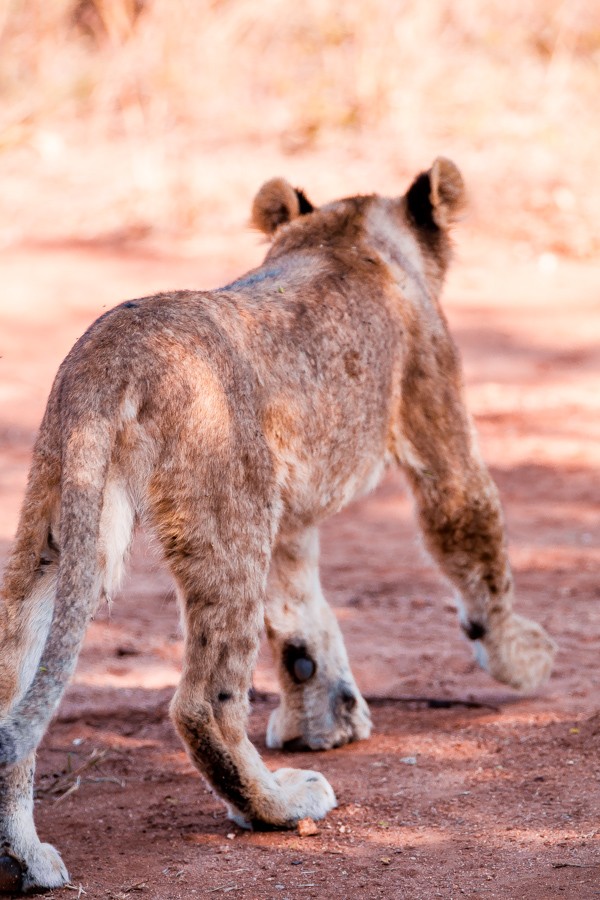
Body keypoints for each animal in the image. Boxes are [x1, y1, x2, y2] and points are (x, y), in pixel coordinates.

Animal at [0, 158, 552, 888]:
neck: (341, 233)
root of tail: (112, 354)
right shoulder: (437, 421)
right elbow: (476, 538)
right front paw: (524, 659)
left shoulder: (291, 515)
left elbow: (302, 621)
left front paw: (326, 719)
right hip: (231, 521)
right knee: (206, 701)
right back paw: (279, 805)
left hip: (61, 517)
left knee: (14, 683)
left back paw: (25, 856)